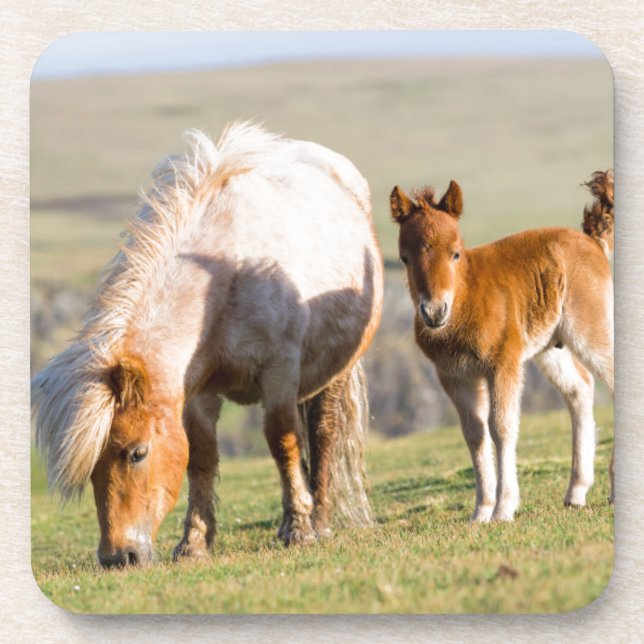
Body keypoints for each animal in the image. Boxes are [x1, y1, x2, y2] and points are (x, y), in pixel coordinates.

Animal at [32, 122, 384, 567]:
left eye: (137, 453)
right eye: (92, 468)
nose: (118, 557)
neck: (224, 274)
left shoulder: (279, 372)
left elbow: (283, 442)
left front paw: (301, 530)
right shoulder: (196, 392)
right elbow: (200, 457)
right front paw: (194, 543)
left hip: (333, 371)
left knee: (323, 435)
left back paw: (317, 520)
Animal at [390, 171, 614, 522]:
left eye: (455, 253)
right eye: (405, 258)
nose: (435, 311)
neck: (467, 301)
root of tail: (591, 241)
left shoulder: (502, 363)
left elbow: (502, 427)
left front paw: (504, 508)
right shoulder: (454, 376)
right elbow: (474, 434)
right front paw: (481, 511)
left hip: (591, 330)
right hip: (550, 347)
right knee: (580, 389)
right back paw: (576, 492)